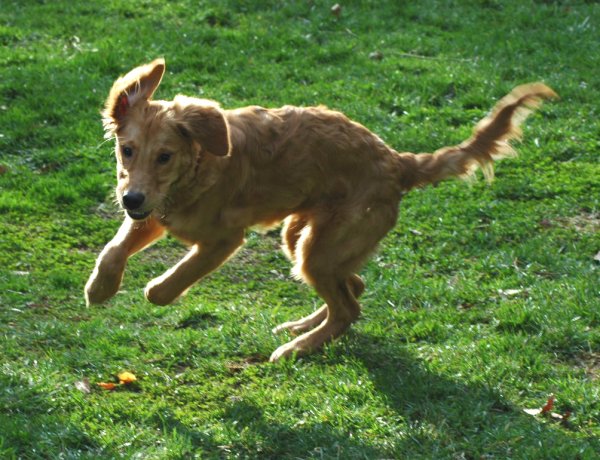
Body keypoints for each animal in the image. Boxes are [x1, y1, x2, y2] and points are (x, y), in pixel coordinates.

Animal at [82, 57, 556, 362]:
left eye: (164, 156)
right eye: (127, 150)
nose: (131, 199)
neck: (198, 167)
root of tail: (396, 161)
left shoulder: (222, 240)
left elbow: (173, 280)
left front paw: (154, 290)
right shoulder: (153, 213)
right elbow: (113, 249)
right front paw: (100, 288)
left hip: (318, 248)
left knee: (350, 307)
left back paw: (296, 348)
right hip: (304, 238)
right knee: (355, 288)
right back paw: (300, 329)